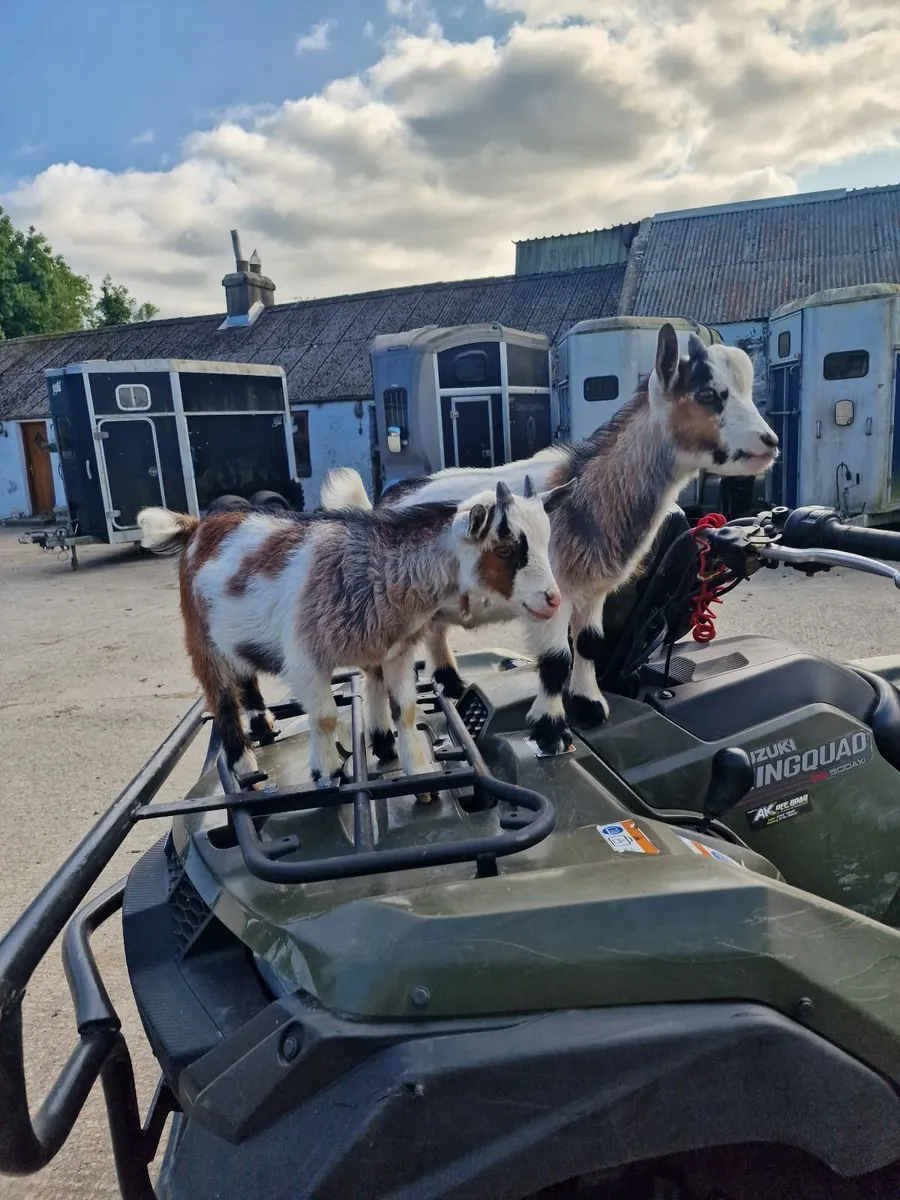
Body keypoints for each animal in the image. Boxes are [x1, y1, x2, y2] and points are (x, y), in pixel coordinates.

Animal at [137, 480, 568, 792]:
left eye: (545, 539)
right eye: (505, 549)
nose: (553, 599)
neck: (380, 570)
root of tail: (197, 528)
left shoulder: (395, 651)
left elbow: (405, 710)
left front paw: (417, 769)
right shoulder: (307, 659)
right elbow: (326, 717)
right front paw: (326, 772)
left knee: (246, 676)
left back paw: (263, 723)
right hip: (202, 640)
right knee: (222, 698)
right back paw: (245, 767)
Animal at [322, 323, 778, 756]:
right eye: (707, 393)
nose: (770, 442)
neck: (586, 494)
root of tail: (381, 503)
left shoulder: (591, 590)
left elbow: (589, 644)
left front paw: (590, 706)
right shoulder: (549, 593)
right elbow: (556, 661)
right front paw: (551, 731)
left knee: (435, 631)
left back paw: (450, 686)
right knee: (374, 667)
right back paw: (382, 739)